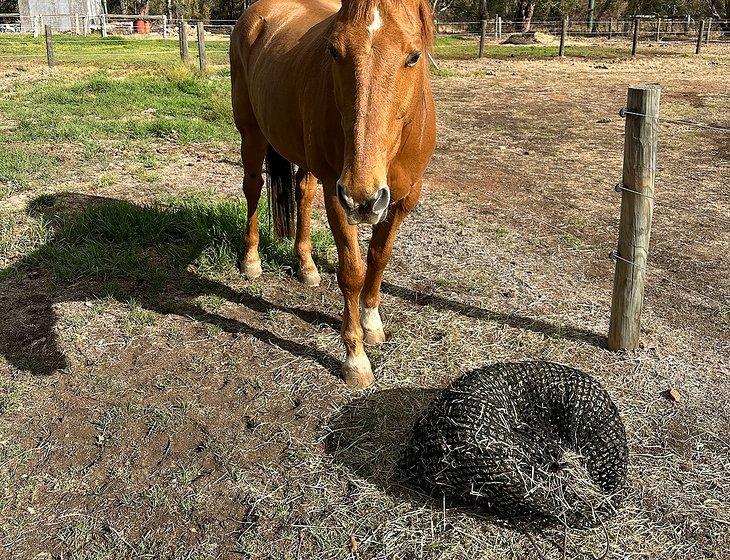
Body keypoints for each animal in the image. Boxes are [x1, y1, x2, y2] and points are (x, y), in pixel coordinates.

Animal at [229, 0, 432, 388]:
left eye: (414, 56)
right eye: (334, 51)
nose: (363, 198)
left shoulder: (403, 200)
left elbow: (379, 257)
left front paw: (372, 321)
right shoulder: (338, 197)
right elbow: (351, 271)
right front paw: (355, 359)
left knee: (302, 192)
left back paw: (307, 267)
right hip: (251, 133)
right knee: (252, 188)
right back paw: (251, 261)